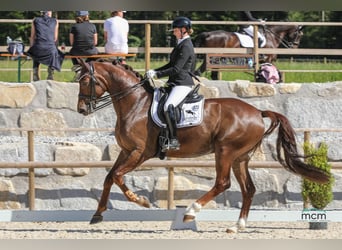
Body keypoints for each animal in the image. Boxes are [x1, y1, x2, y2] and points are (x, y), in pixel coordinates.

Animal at [77, 59, 328, 233]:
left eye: (86, 81)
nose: (81, 109)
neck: (136, 104)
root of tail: (258, 112)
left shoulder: (140, 152)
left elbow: (118, 176)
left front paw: (141, 201)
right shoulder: (126, 151)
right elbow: (109, 177)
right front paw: (97, 214)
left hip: (225, 152)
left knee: (223, 183)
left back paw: (190, 212)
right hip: (240, 158)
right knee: (248, 189)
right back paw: (236, 226)